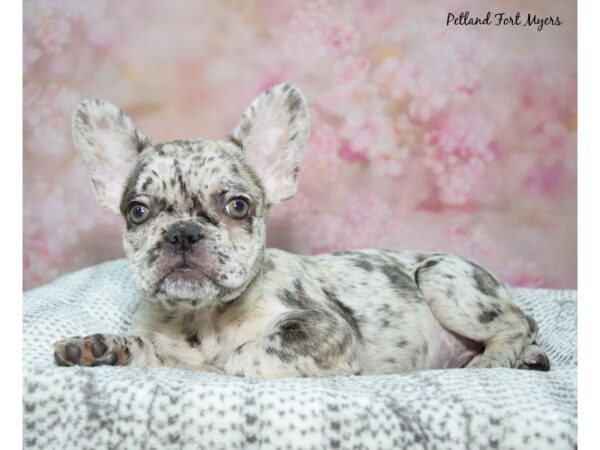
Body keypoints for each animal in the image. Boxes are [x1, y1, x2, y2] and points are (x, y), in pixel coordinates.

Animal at [54, 83, 552, 376]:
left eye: (238, 206)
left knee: (518, 323)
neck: (203, 317)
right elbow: (154, 348)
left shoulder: (326, 330)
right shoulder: (169, 342)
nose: (182, 233)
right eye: (137, 212)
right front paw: (100, 347)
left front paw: (219, 363)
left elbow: (244, 356)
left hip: (443, 277)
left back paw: (494, 359)